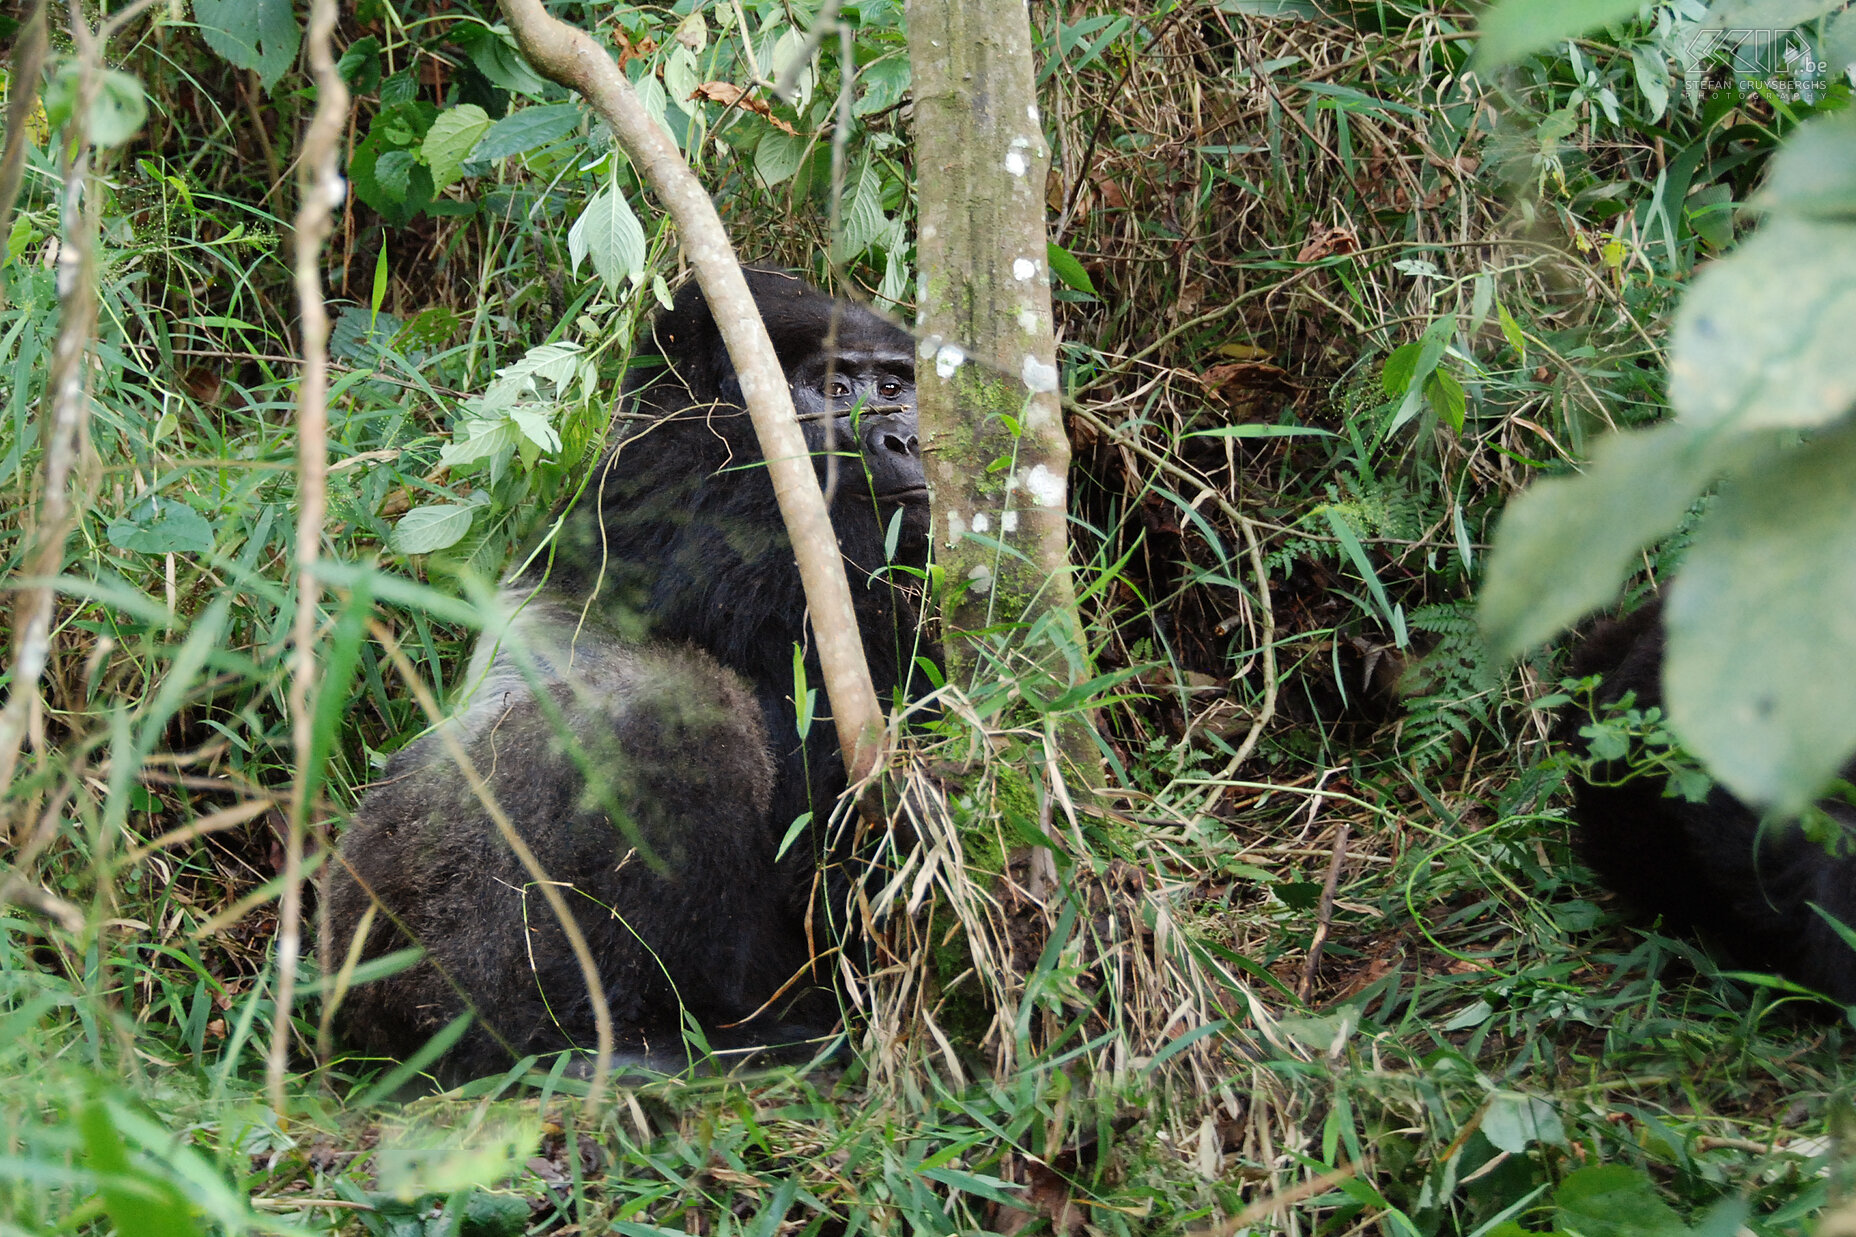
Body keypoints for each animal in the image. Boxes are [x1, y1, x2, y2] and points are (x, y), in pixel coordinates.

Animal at [328, 267, 935, 1069]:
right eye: (835, 388)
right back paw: (559, 1038)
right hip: (396, 918)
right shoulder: (709, 473)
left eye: (895, 385)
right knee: (663, 709)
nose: (908, 436)